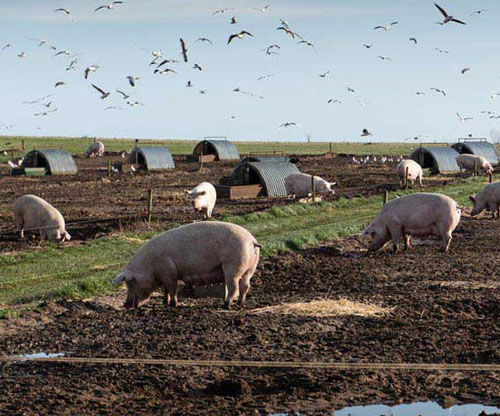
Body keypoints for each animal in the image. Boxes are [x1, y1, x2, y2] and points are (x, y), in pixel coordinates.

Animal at [110, 221, 262, 308]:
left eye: (130, 283)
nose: (126, 305)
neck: (149, 266)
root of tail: (252, 241)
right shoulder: (164, 275)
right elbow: (165, 290)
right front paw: (164, 302)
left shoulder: (169, 272)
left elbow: (172, 288)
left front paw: (173, 304)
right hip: (250, 268)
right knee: (245, 286)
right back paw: (240, 304)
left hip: (233, 267)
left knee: (234, 288)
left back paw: (226, 305)